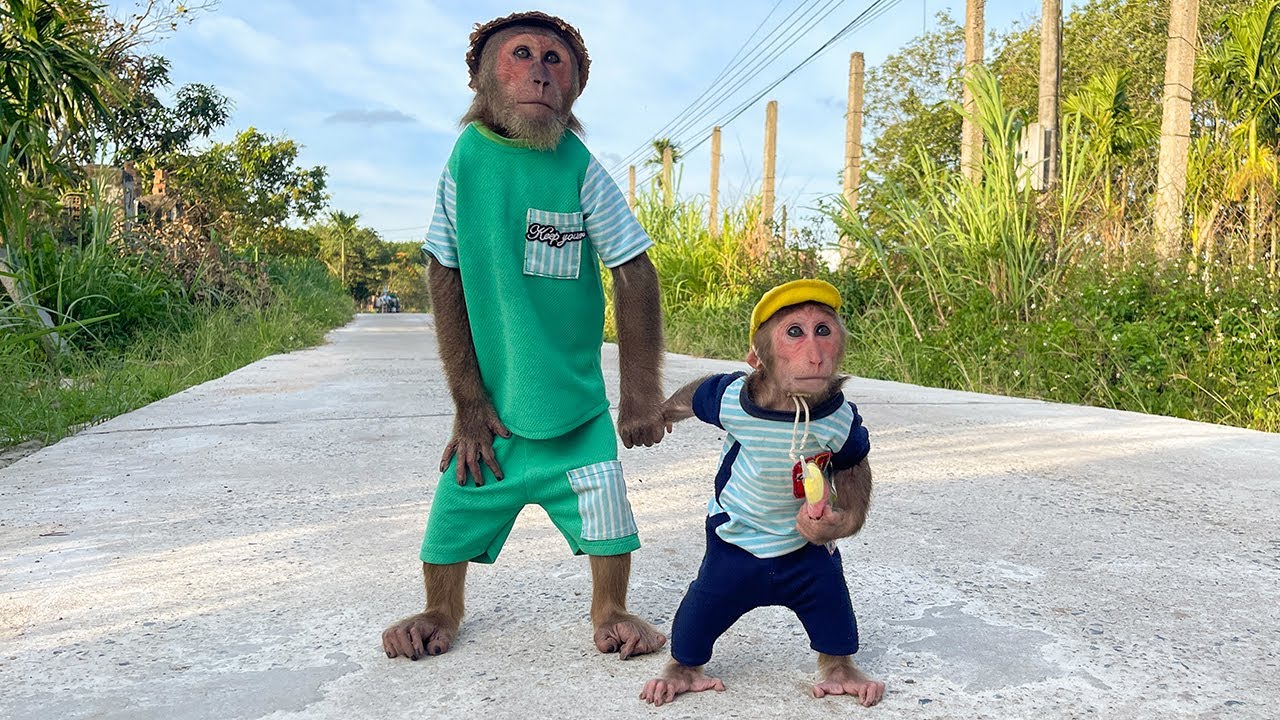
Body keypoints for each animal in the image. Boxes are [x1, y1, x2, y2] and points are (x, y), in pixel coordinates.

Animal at [381, 12, 668, 663]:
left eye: (554, 58)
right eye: (521, 52)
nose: (540, 74)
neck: (517, 143)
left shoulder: (592, 176)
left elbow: (632, 271)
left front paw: (640, 412)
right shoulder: (450, 183)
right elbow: (446, 276)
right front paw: (470, 413)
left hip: (583, 463)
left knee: (604, 516)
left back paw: (613, 616)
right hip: (476, 483)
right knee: (451, 524)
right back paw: (434, 617)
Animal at [639, 279, 885, 707]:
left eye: (823, 330)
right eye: (795, 332)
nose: (816, 355)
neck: (789, 407)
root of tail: (768, 587)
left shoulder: (845, 419)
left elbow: (853, 463)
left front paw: (826, 525)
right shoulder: (730, 396)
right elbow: (702, 393)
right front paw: (657, 418)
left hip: (813, 574)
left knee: (834, 613)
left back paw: (842, 674)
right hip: (725, 572)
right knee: (697, 614)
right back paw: (681, 673)